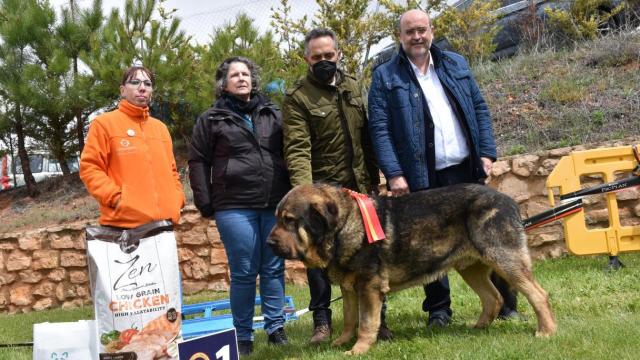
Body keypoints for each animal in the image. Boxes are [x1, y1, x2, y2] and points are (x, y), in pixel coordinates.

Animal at [266, 184, 556, 356]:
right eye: (277, 219)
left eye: (289, 220)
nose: (269, 243)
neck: (343, 226)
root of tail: (509, 200)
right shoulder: (350, 287)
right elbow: (349, 318)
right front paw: (340, 342)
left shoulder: (369, 286)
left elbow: (367, 322)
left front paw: (358, 349)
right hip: (471, 268)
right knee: (493, 297)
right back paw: (478, 328)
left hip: (504, 259)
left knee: (538, 294)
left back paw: (546, 331)